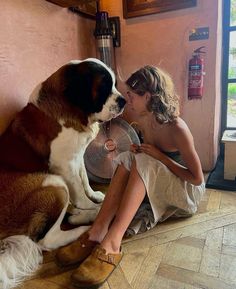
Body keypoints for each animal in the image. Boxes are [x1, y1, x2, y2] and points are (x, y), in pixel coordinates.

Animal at [0, 57, 126, 286]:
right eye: (104, 87)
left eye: (113, 84)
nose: (123, 101)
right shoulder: (64, 165)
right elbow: (79, 190)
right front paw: (92, 205)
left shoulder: (78, 156)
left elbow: (84, 179)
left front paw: (95, 196)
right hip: (53, 184)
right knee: (46, 240)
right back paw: (89, 223)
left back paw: (82, 216)